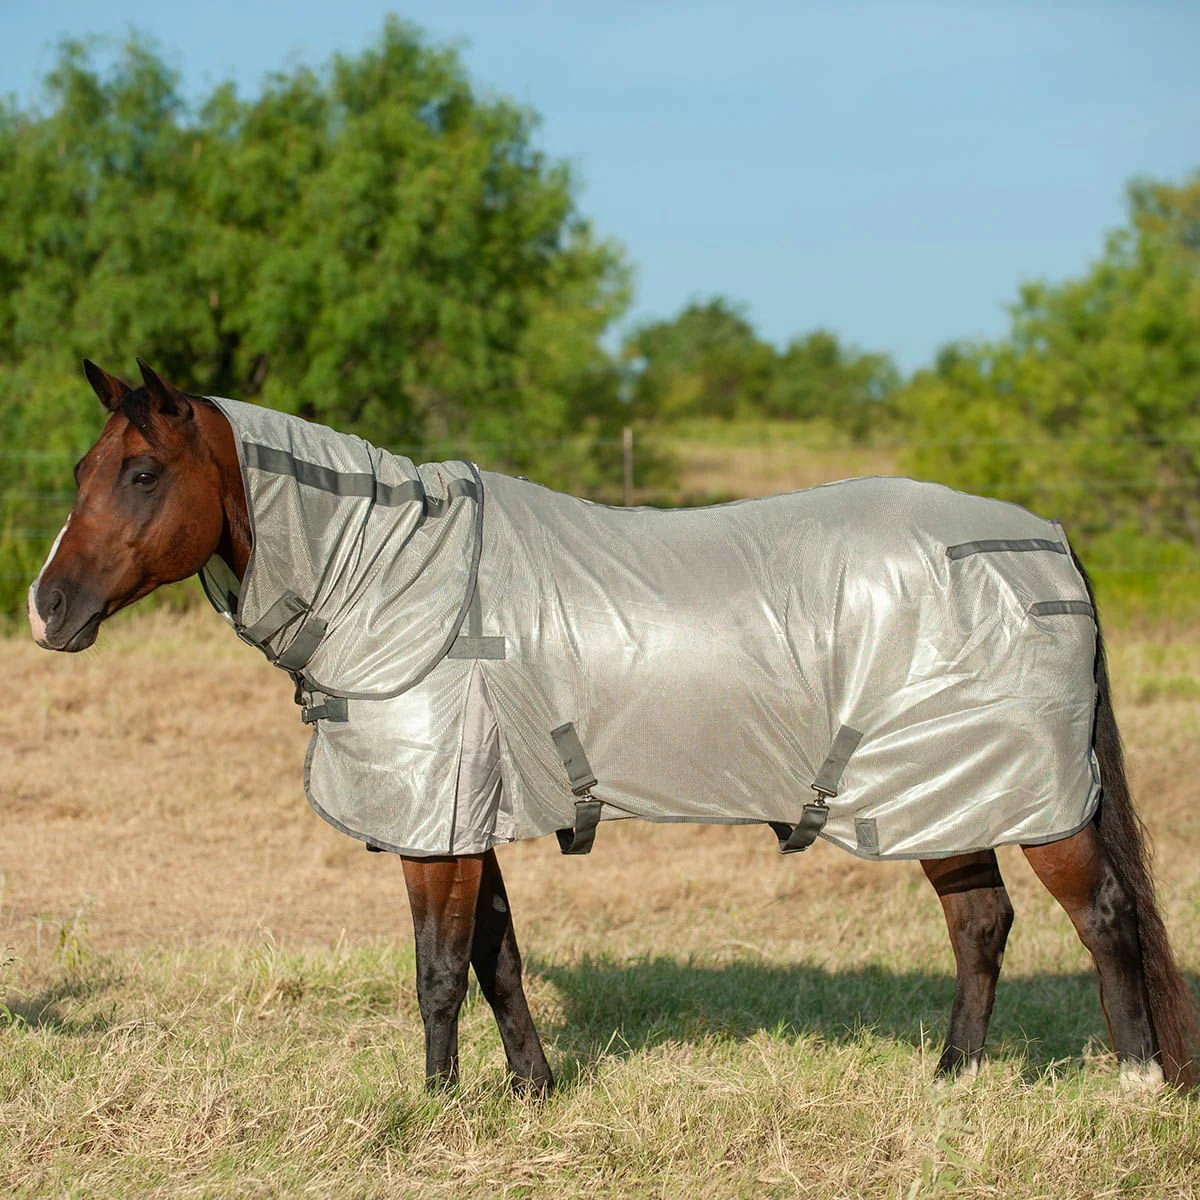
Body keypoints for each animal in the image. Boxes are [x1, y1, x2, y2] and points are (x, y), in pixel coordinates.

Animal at [28, 358, 1197, 1094]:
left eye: (142, 471)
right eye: (83, 470)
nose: (47, 609)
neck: (403, 581)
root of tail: (1045, 539)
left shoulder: (437, 827)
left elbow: (439, 970)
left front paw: (433, 1108)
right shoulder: (472, 818)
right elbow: (496, 960)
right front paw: (532, 1091)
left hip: (1031, 799)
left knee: (1103, 919)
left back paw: (1137, 1081)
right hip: (941, 795)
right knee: (981, 926)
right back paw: (953, 1078)